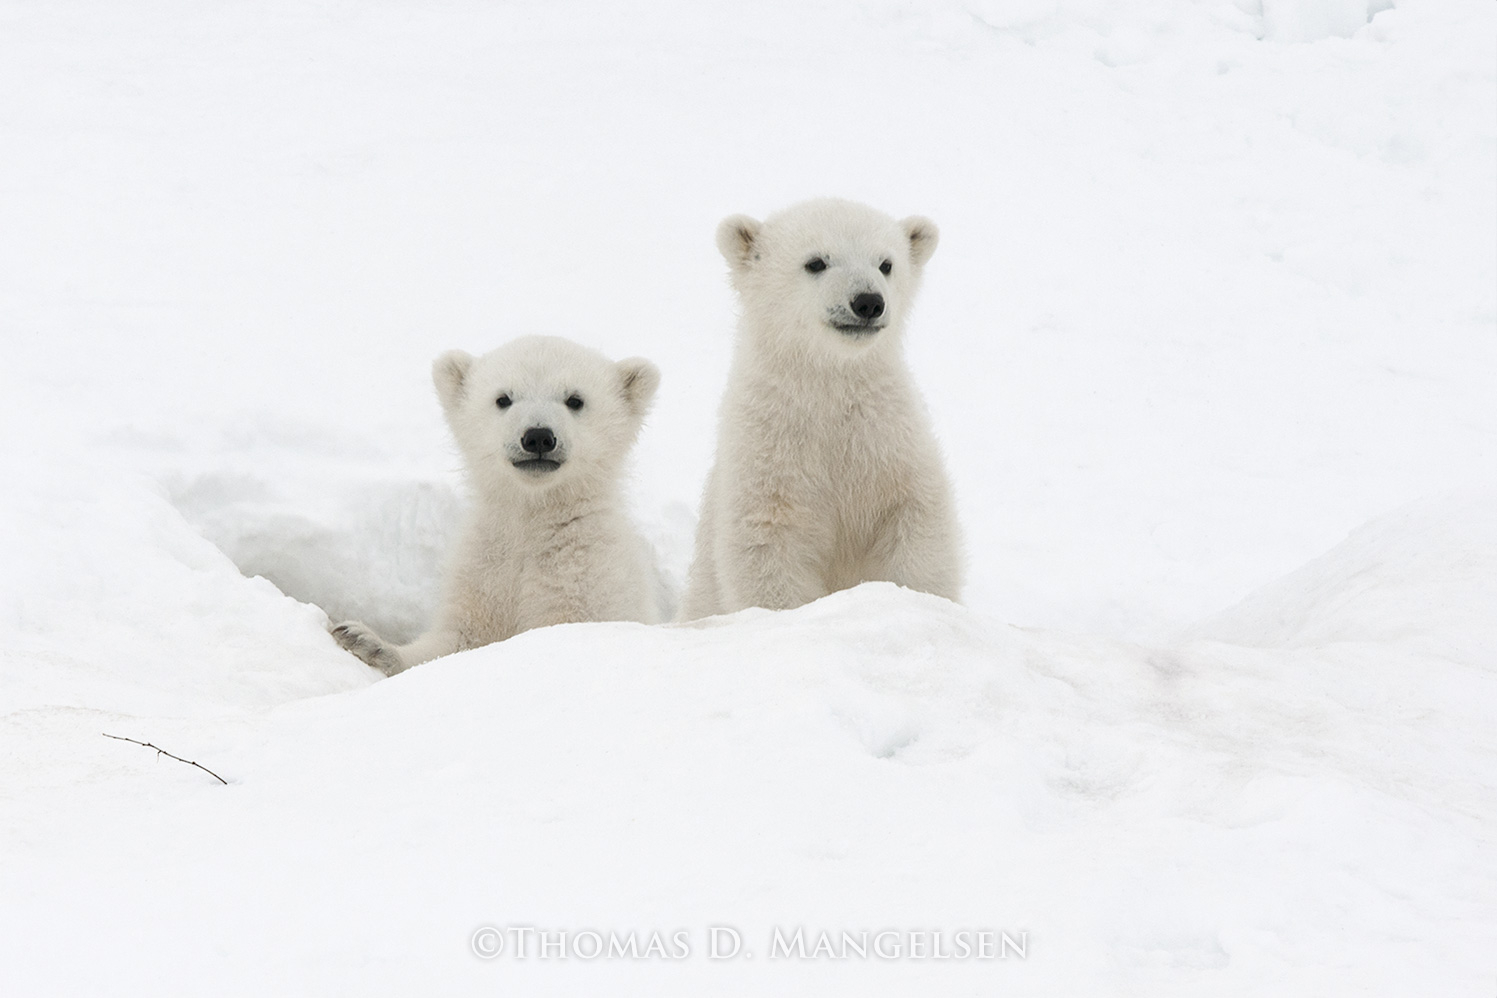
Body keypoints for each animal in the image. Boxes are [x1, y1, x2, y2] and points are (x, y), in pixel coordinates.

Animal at [331, 335, 662, 675]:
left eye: (575, 400)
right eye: (503, 399)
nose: (538, 437)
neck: (531, 515)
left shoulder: (589, 575)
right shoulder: (484, 568)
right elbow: (458, 638)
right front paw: (364, 640)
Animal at [678, 198, 963, 619]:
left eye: (886, 263)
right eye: (816, 262)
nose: (868, 302)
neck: (827, 383)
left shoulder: (888, 438)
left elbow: (917, 522)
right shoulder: (769, 452)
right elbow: (767, 545)